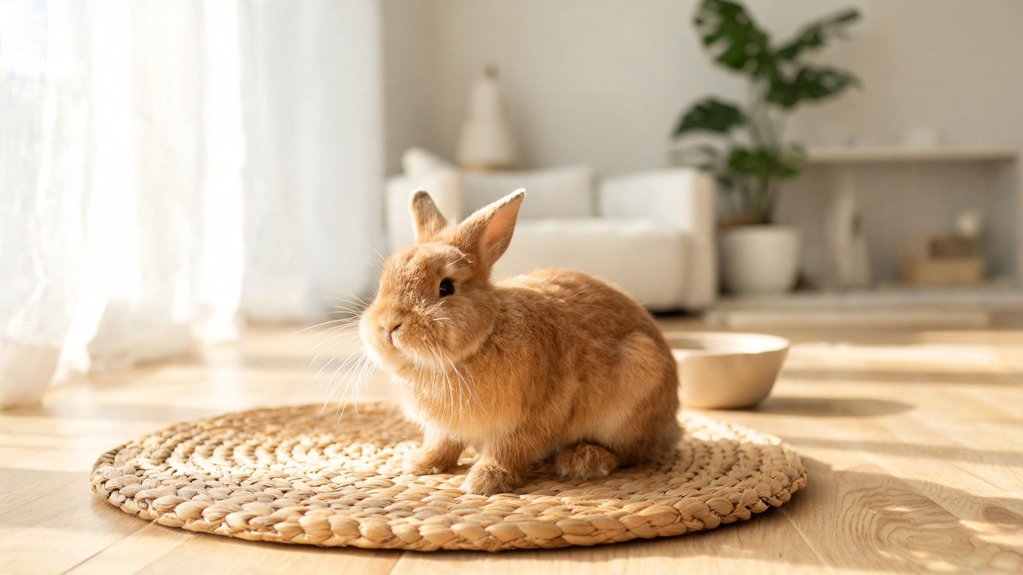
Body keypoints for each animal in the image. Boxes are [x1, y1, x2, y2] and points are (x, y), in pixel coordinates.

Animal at [359, 188, 681, 495]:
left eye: (446, 287)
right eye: (384, 281)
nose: (388, 325)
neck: (483, 338)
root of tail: (670, 425)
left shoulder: (530, 419)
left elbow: (508, 452)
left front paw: (484, 481)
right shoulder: (445, 429)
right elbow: (442, 445)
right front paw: (419, 464)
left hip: (637, 379)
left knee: (629, 454)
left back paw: (582, 461)